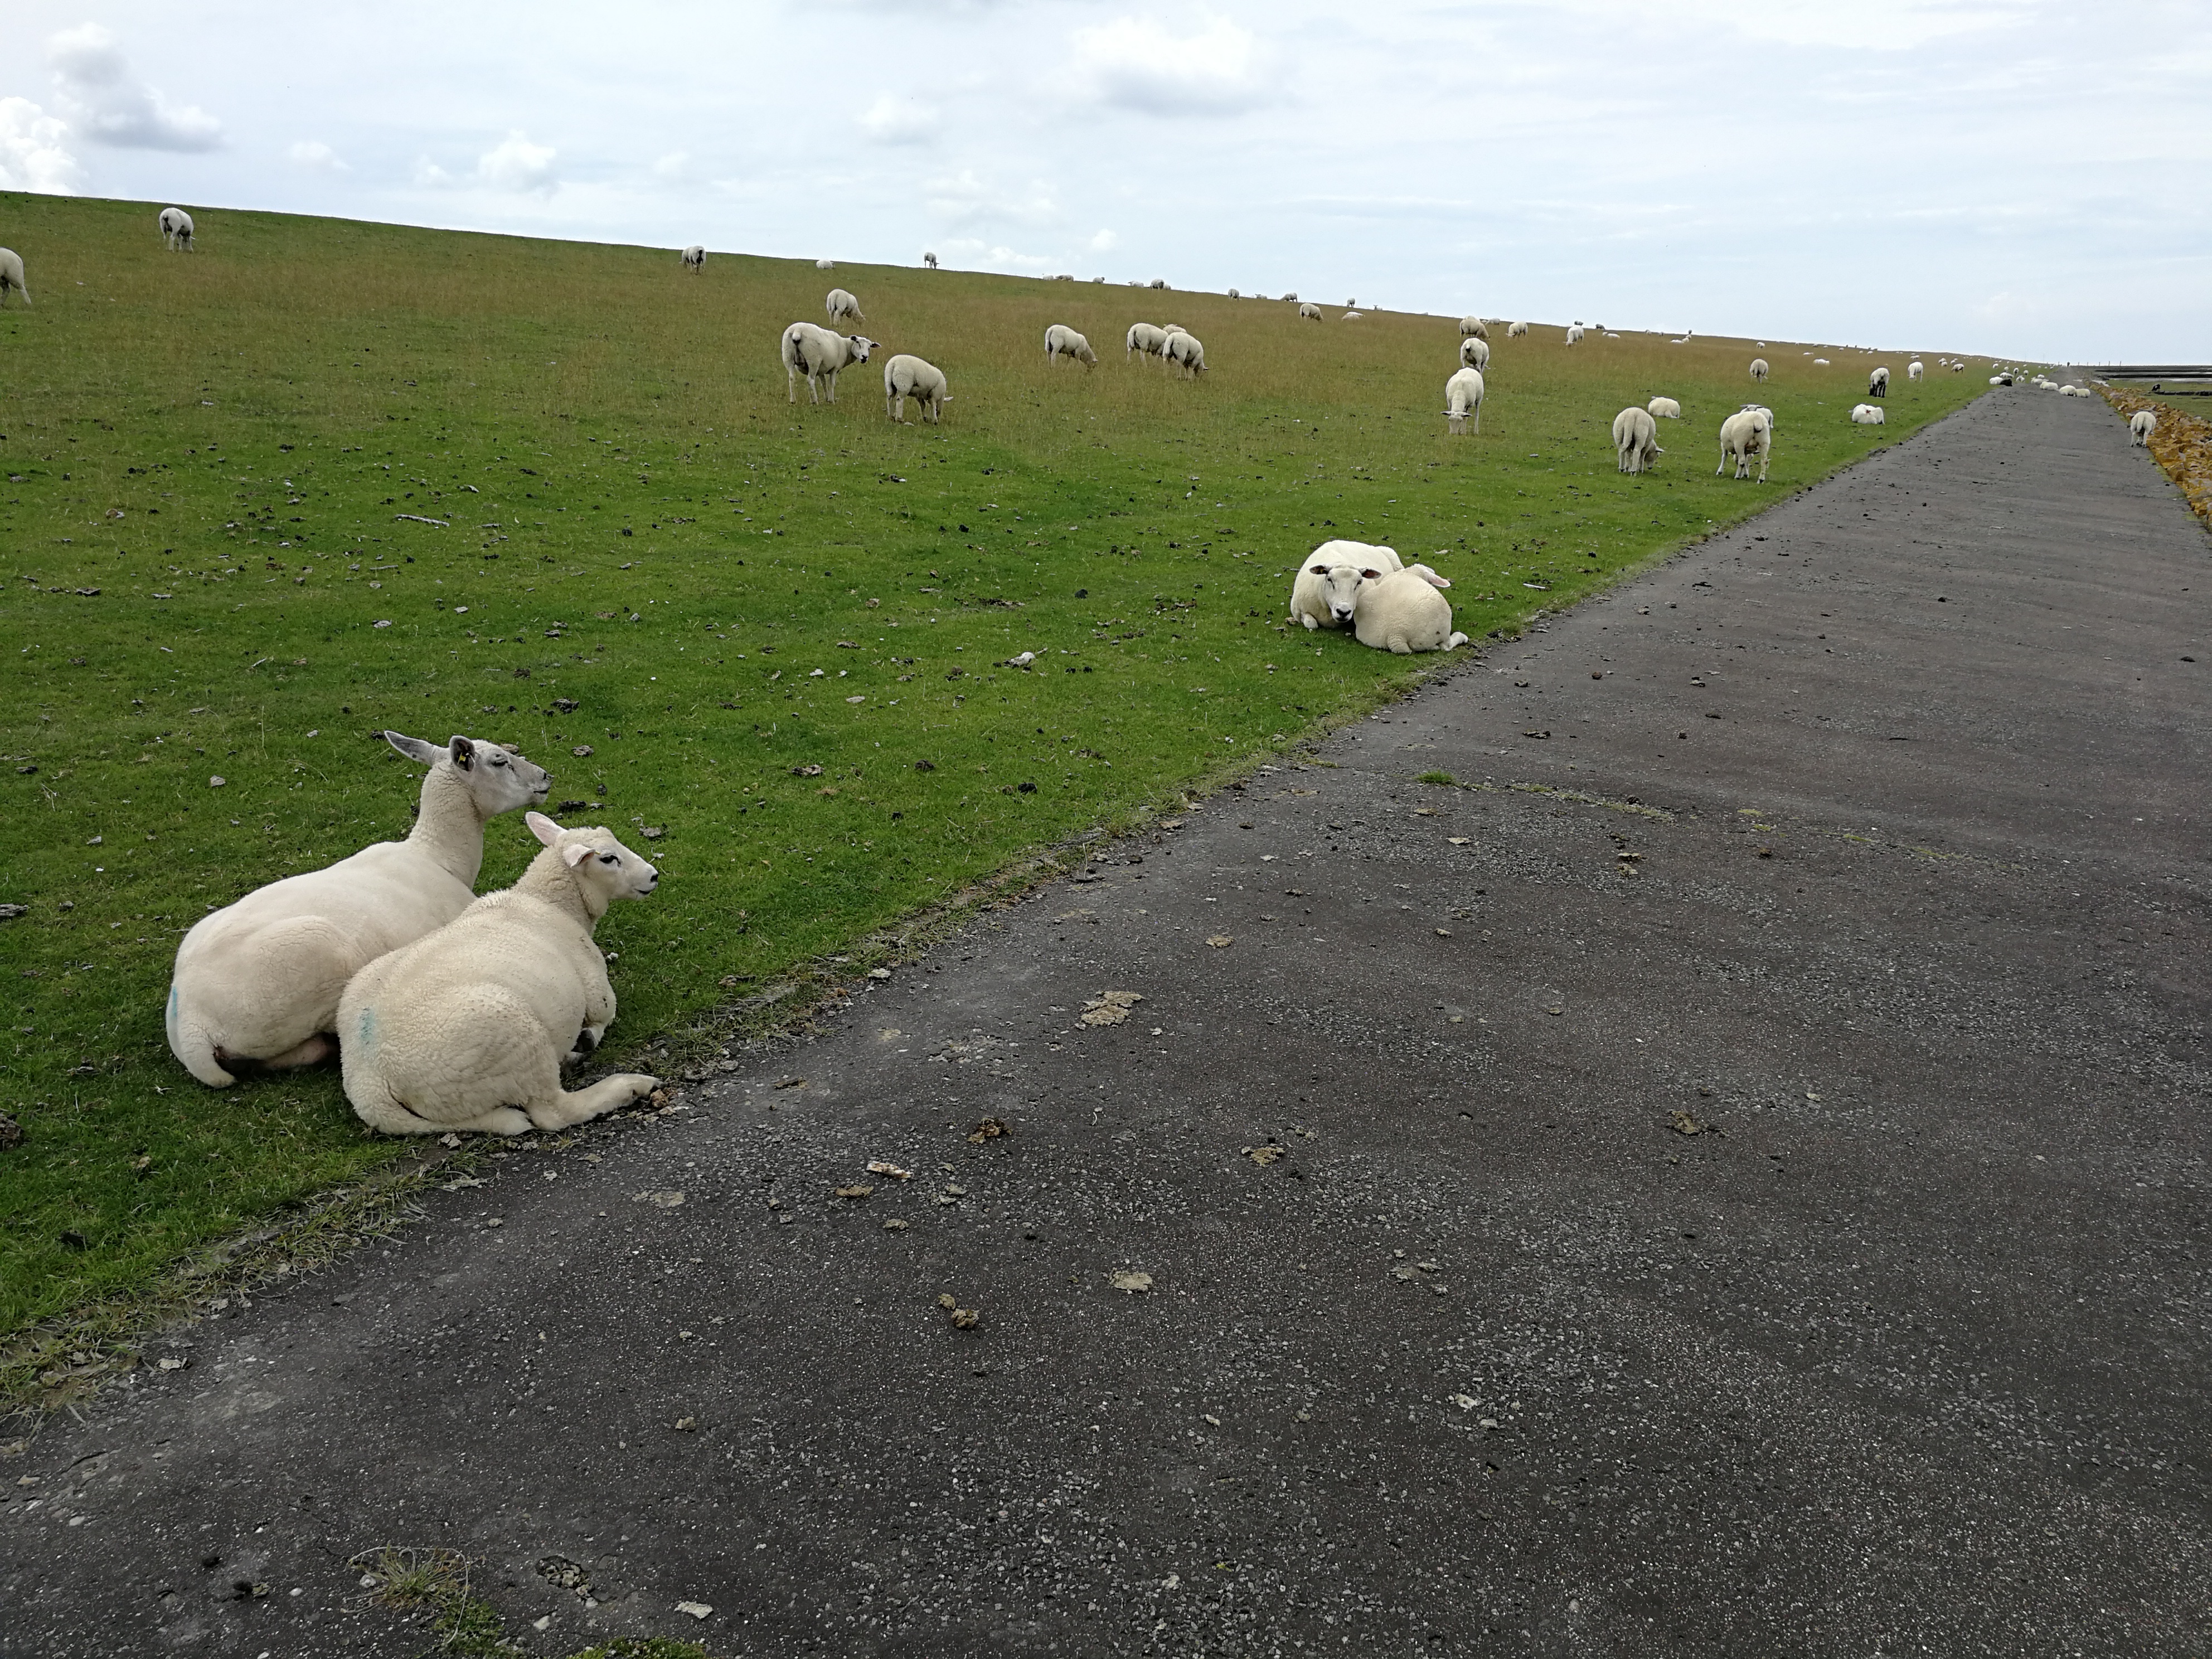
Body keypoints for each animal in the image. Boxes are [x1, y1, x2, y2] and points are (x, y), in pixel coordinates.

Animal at [337, 815, 662, 1136]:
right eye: (608, 858)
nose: (653, 876)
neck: (550, 903)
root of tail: (369, 1079)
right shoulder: (597, 991)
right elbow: (604, 1016)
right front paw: (587, 1038)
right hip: (516, 1039)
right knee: (552, 1111)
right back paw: (628, 1085)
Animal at [781, 321, 877, 403]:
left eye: (870, 347)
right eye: (858, 343)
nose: (865, 357)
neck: (846, 346)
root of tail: (798, 330)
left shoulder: (821, 370)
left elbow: (824, 383)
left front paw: (826, 398)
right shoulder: (835, 368)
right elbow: (831, 384)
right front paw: (831, 400)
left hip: (787, 356)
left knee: (792, 378)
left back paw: (793, 401)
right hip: (813, 359)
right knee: (810, 380)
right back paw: (815, 402)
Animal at [1717, 408, 1773, 482]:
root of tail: (1757, 419)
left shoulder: (1724, 445)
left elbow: (1724, 457)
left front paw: (1720, 472)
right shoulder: (1747, 450)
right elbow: (1746, 462)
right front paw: (1745, 474)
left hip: (1740, 442)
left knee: (1742, 461)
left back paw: (1737, 477)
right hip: (1764, 442)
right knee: (1764, 461)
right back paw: (1761, 480)